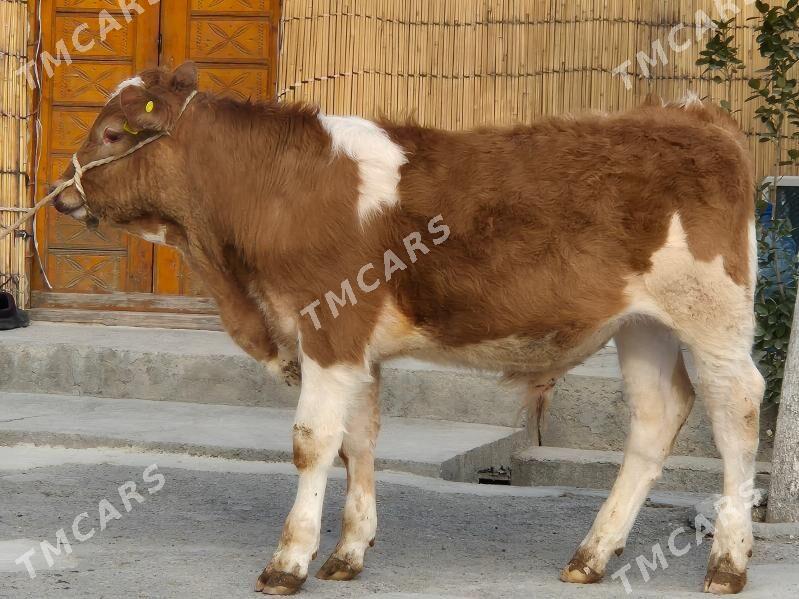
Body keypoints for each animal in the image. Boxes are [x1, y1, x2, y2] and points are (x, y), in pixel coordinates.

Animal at [53, 63, 764, 596]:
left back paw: (727, 562)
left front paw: (288, 563)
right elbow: (357, 442)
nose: (61, 195)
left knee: (736, 410)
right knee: (655, 416)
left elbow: (313, 443)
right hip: (642, 324)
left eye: (113, 133)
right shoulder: (355, 349)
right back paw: (591, 555)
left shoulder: (330, 328)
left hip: (713, 316)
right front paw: (348, 552)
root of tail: (692, 116)